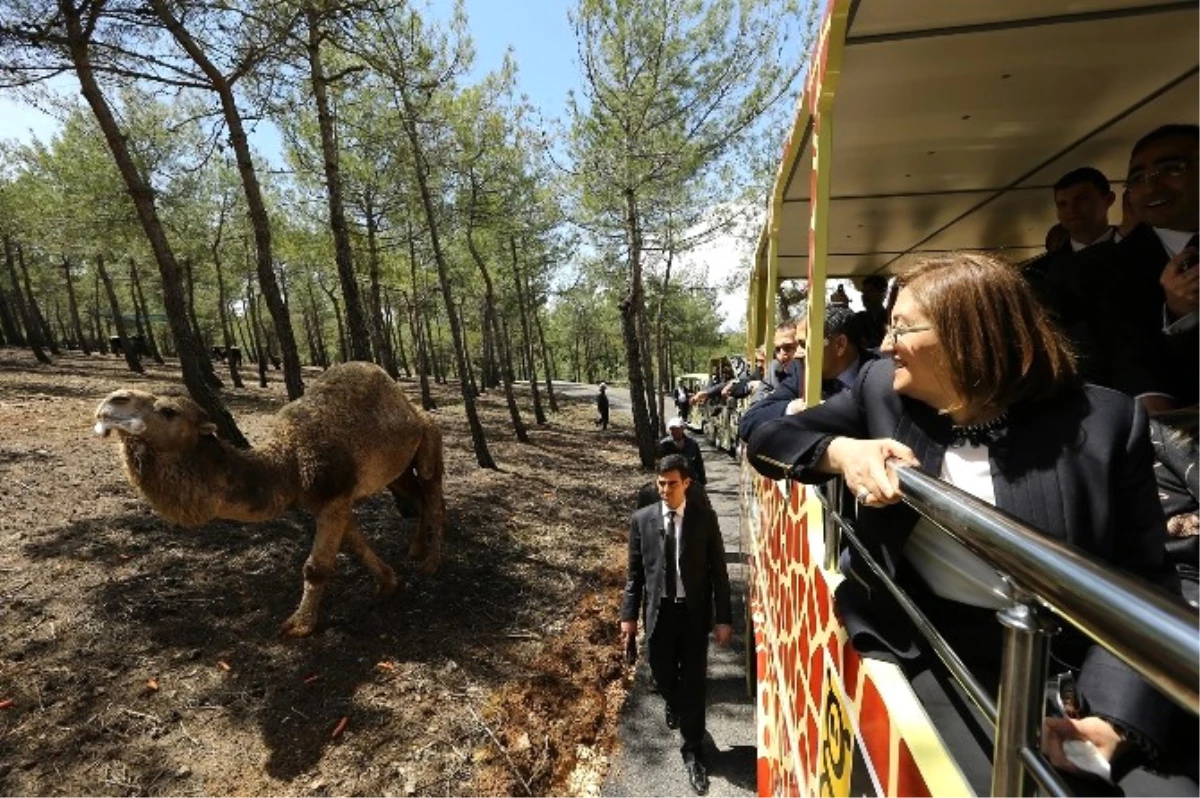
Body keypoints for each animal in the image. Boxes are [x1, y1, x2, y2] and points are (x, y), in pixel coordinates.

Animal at [94, 360, 446, 633]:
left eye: (169, 411)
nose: (112, 401)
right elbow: (357, 544)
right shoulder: (326, 501)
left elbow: (316, 566)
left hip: (430, 438)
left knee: (432, 495)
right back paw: (416, 550)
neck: (290, 460)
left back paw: (431, 563)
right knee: (414, 497)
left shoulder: (334, 497)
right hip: (397, 473)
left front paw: (299, 625)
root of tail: (413, 408)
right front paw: (388, 582)